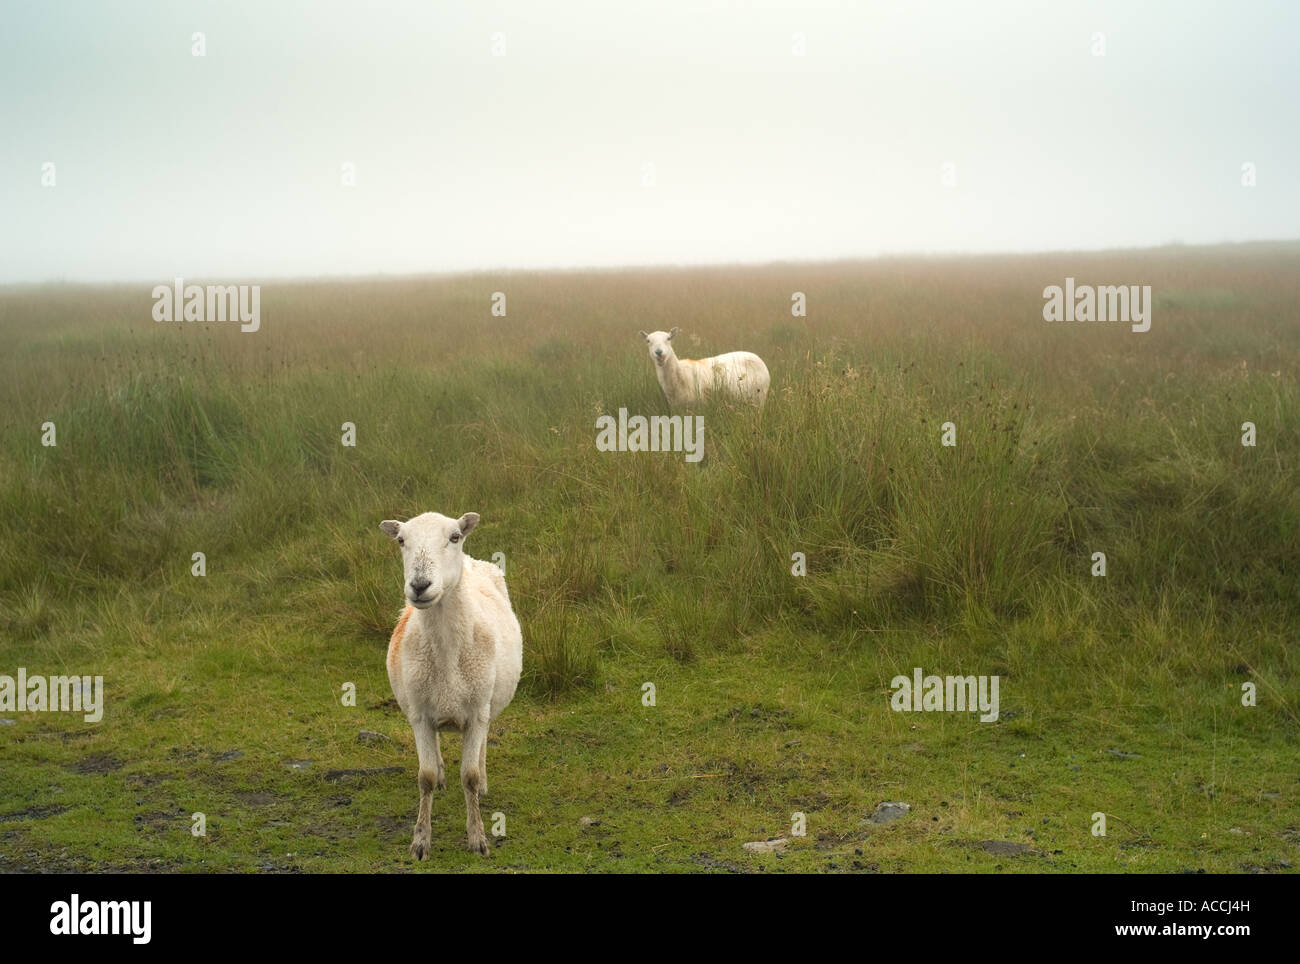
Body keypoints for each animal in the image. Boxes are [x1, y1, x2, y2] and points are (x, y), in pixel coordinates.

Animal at [377, 514, 522, 862]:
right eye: (401, 540)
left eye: (454, 537)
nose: (419, 585)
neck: (445, 653)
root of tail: (471, 561)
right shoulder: (419, 715)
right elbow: (425, 777)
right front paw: (420, 841)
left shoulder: (477, 712)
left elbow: (468, 778)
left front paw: (478, 838)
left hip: (486, 704)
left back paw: (483, 781)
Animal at [634, 329, 764, 410]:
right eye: (648, 341)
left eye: (669, 338)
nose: (659, 353)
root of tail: (756, 356)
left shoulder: (701, 406)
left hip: (760, 398)